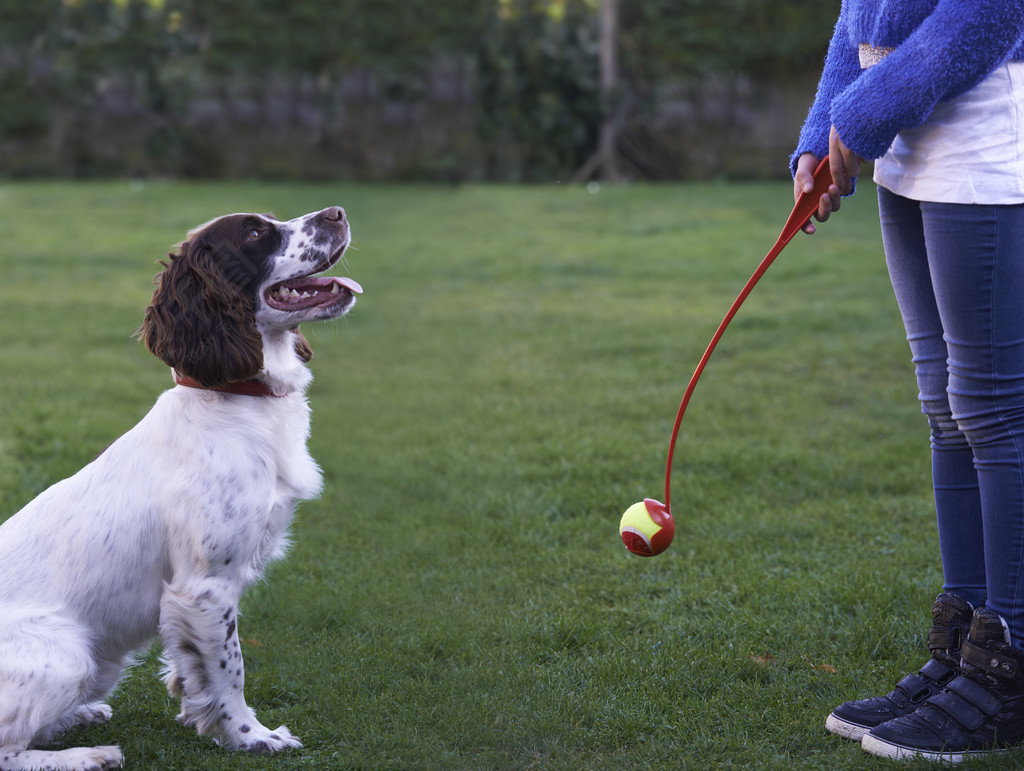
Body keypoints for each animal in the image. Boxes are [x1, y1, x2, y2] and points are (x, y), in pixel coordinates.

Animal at [0, 204, 360, 769]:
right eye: (255, 232)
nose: (337, 212)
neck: (235, 400)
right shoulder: (205, 585)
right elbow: (231, 669)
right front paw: (250, 735)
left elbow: (195, 668)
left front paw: (201, 714)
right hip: (68, 654)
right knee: (8, 750)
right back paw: (89, 755)